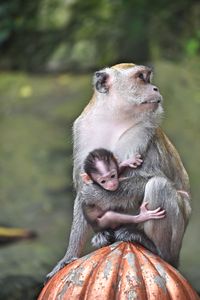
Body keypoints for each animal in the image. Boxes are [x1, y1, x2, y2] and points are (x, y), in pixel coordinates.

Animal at [46, 62, 191, 280]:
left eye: (147, 77)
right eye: (141, 77)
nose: (155, 88)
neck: (114, 119)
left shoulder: (145, 132)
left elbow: (153, 177)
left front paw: (92, 192)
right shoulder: (83, 131)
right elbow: (83, 184)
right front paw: (69, 255)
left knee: (159, 186)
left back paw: (154, 248)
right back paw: (104, 235)